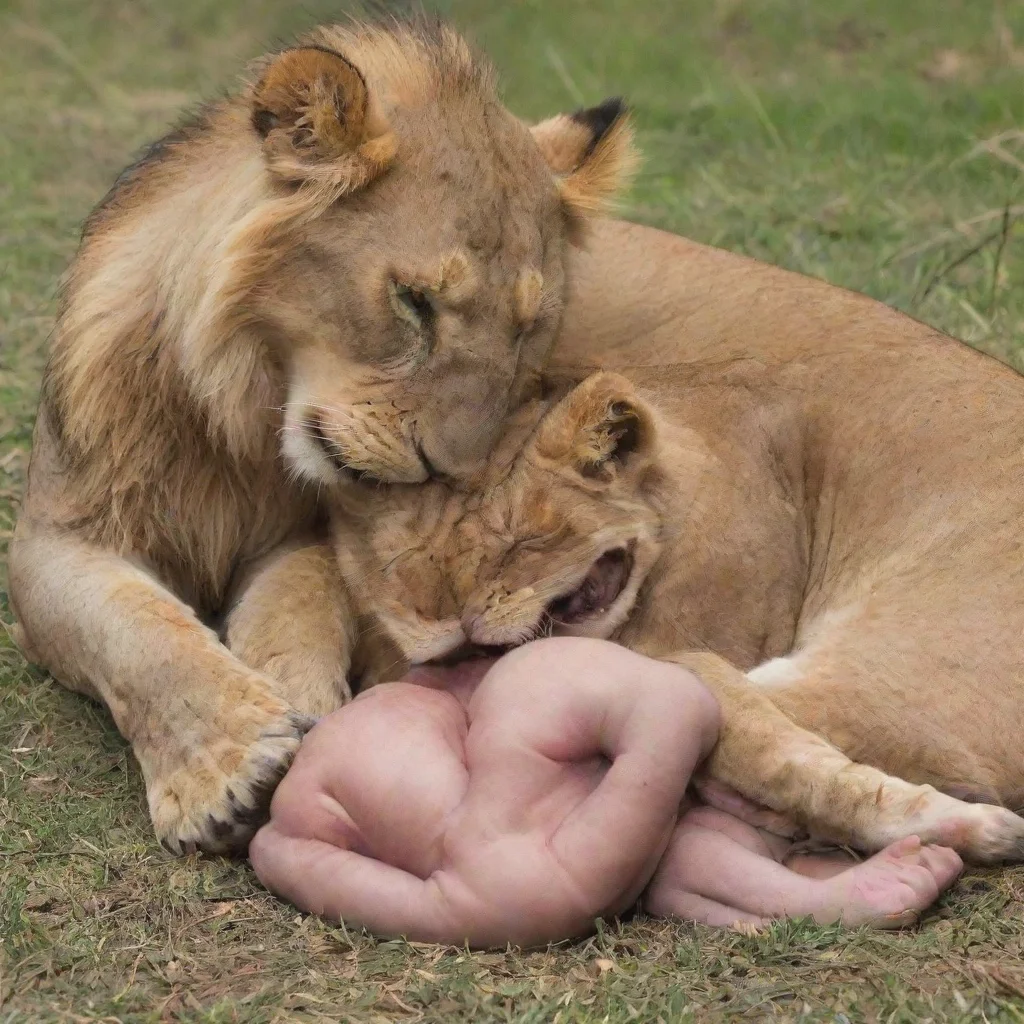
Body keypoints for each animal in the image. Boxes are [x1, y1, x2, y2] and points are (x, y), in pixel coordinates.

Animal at [6, 18, 637, 854]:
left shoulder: (309, 536)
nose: (452, 473)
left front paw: (313, 717)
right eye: (413, 301)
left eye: (528, 328)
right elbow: (138, 632)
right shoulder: (52, 538)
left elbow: (296, 608)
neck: (250, 409)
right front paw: (231, 767)